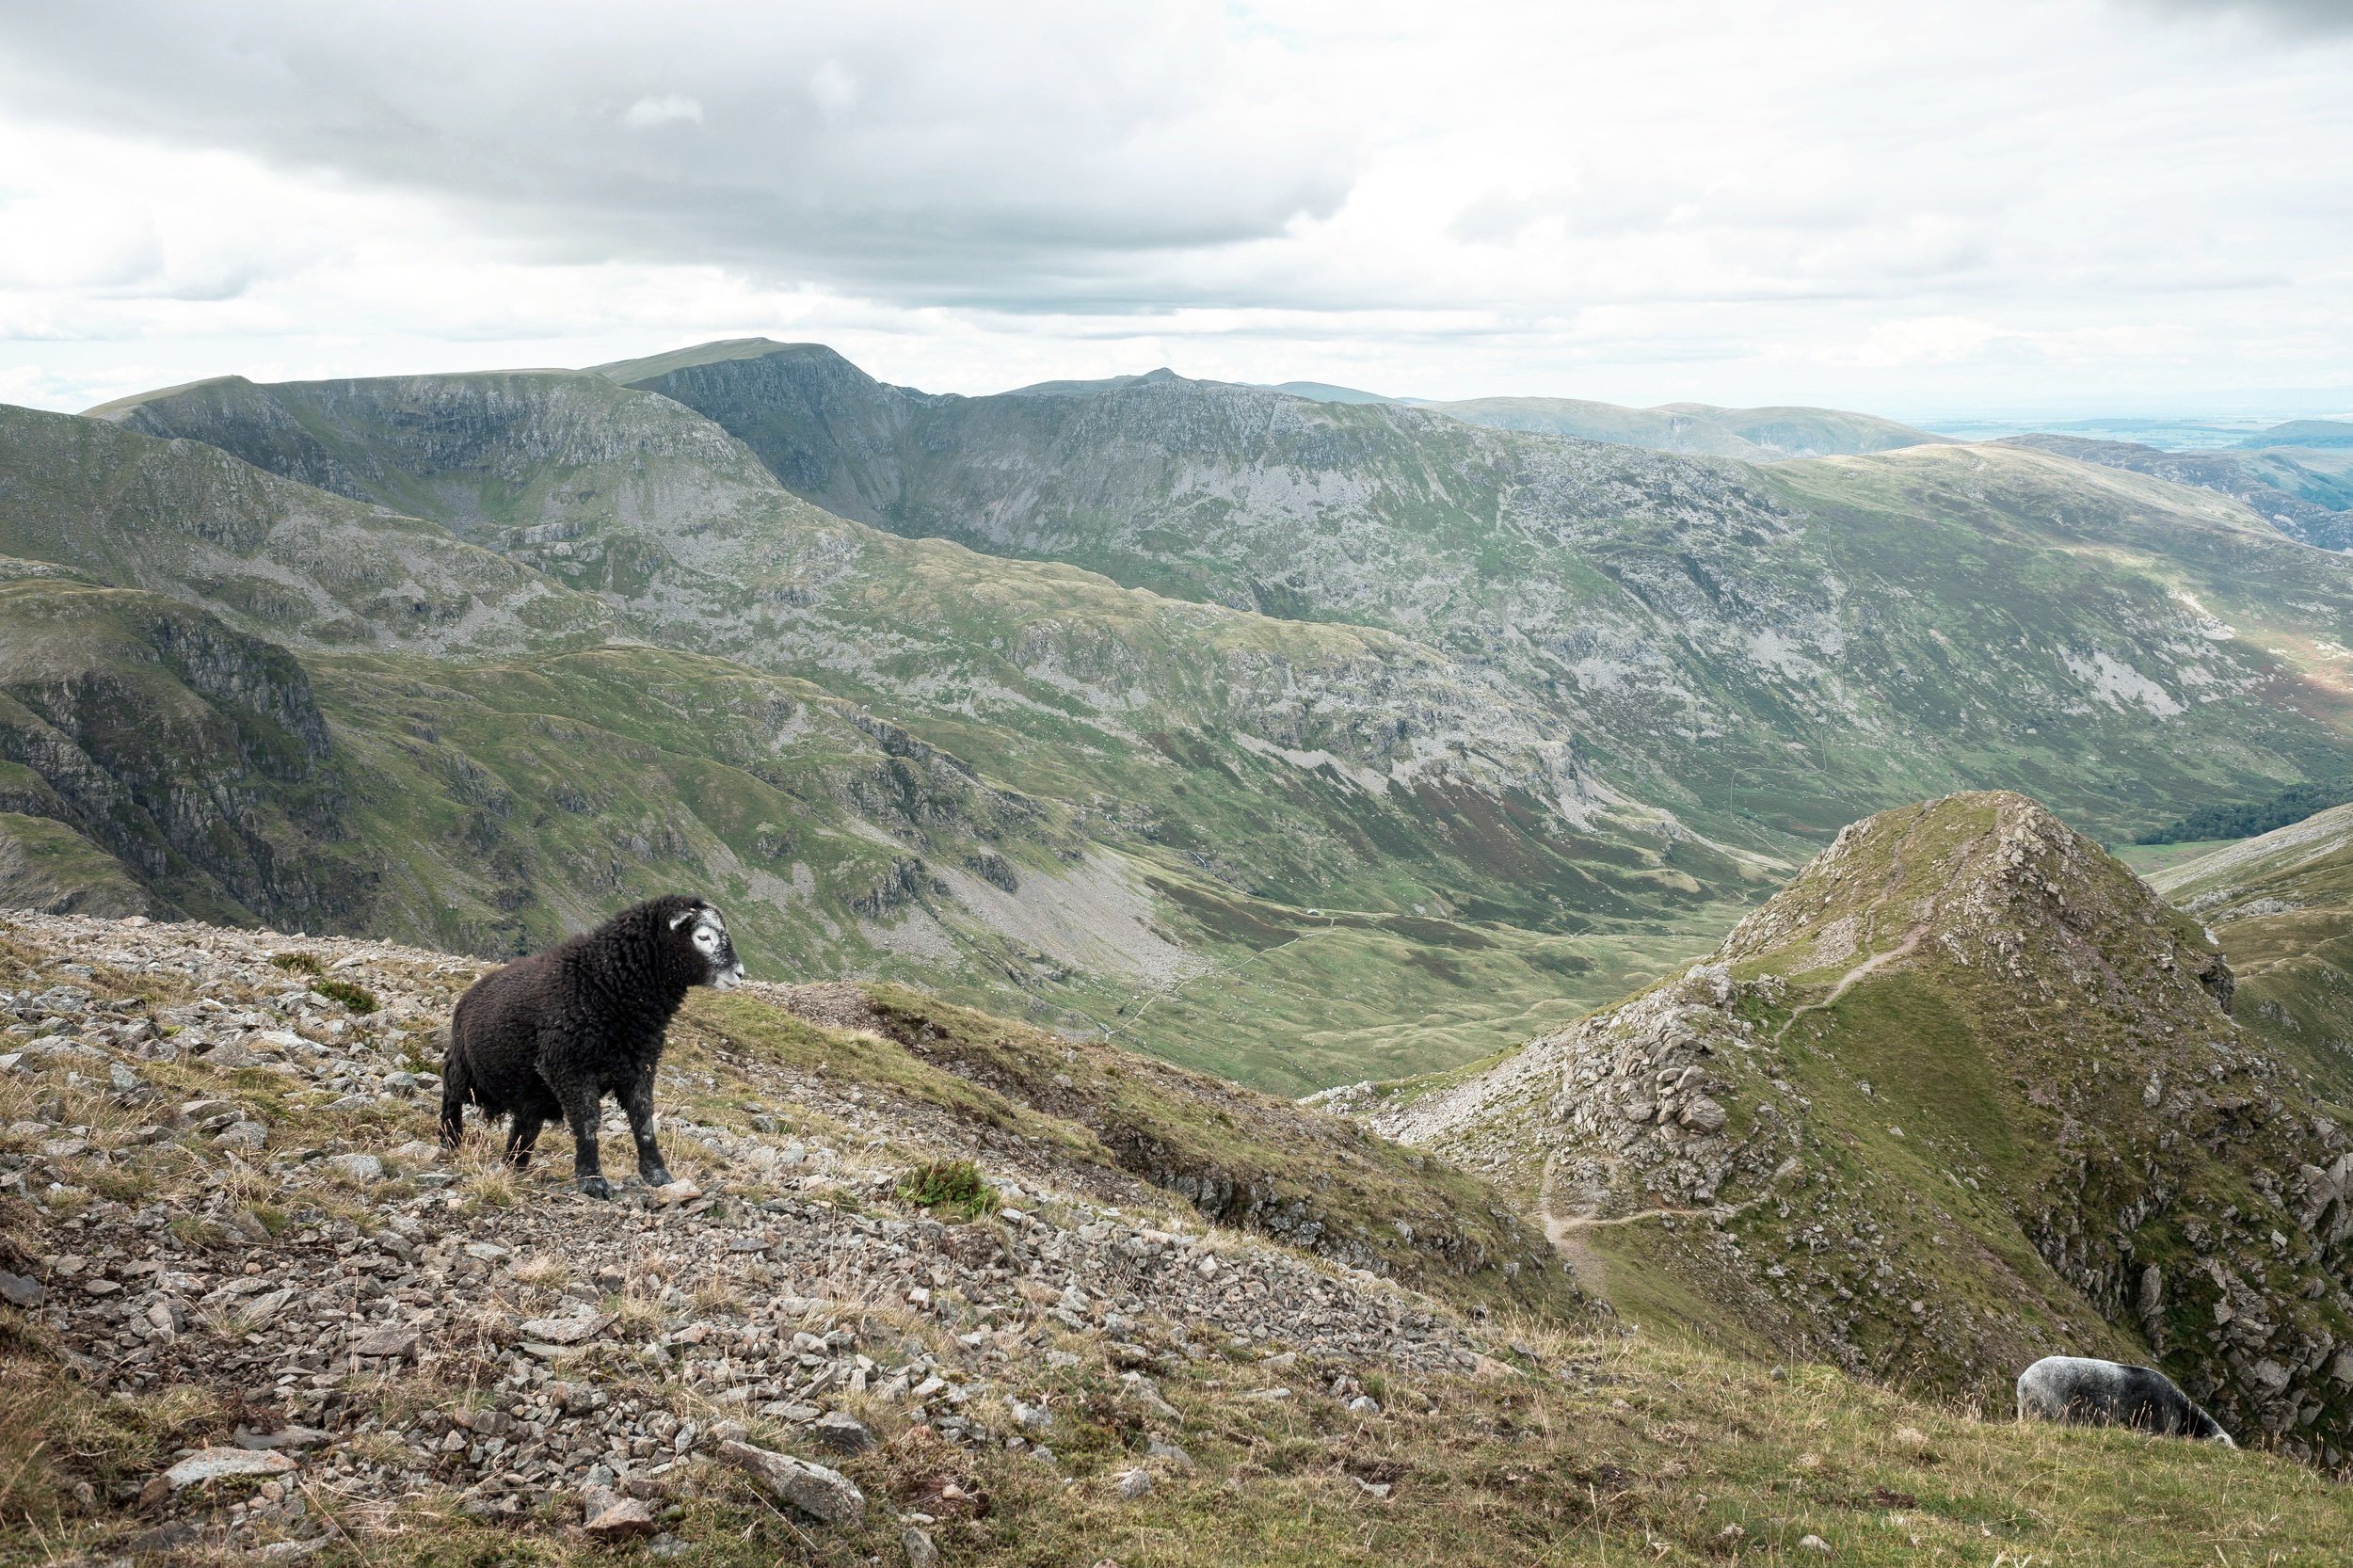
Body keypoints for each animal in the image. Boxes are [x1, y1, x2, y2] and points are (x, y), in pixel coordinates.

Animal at [438, 889, 739, 1195]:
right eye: (703, 937)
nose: (739, 974)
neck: (604, 981)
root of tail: (470, 993)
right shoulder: (567, 1066)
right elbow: (587, 1120)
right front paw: (592, 1179)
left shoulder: (639, 1065)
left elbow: (643, 1119)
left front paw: (657, 1173)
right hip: (465, 1069)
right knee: (451, 1095)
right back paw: (451, 1142)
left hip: (530, 1088)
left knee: (525, 1122)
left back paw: (515, 1164)